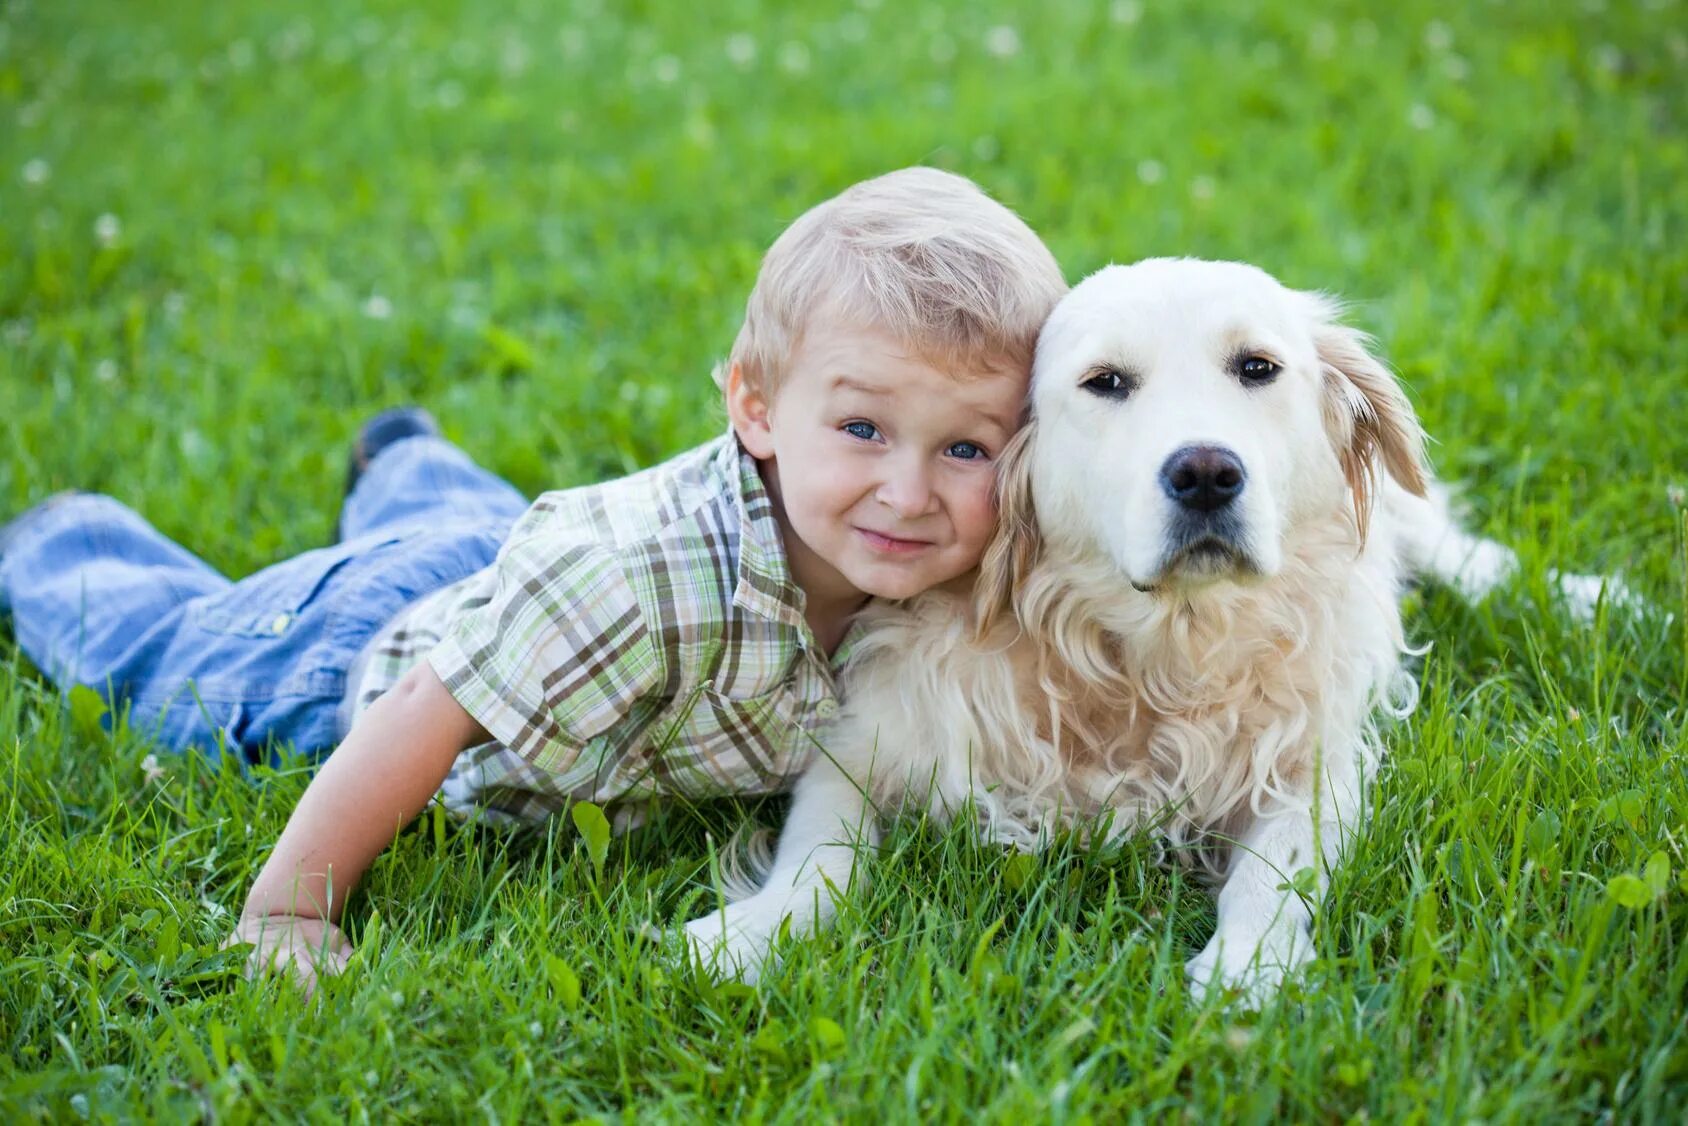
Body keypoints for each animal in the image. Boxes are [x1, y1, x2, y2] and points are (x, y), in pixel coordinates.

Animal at [681, 261, 1606, 1006]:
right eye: (1106, 382)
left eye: (1257, 367)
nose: (1205, 473)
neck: (1152, 657)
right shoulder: (867, 739)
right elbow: (820, 853)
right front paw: (754, 931)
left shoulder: (1313, 766)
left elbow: (1273, 874)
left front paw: (1248, 966)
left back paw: (1592, 597)